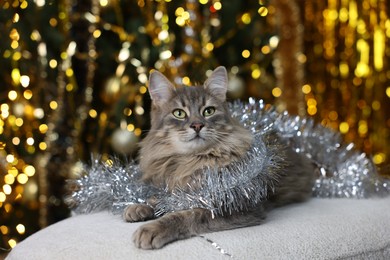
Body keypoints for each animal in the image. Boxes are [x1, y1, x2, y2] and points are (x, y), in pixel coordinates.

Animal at [123, 67, 316, 250]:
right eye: (179, 113)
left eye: (209, 111)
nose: (197, 125)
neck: (190, 162)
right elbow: (162, 198)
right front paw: (139, 206)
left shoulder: (236, 206)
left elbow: (188, 215)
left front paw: (153, 229)